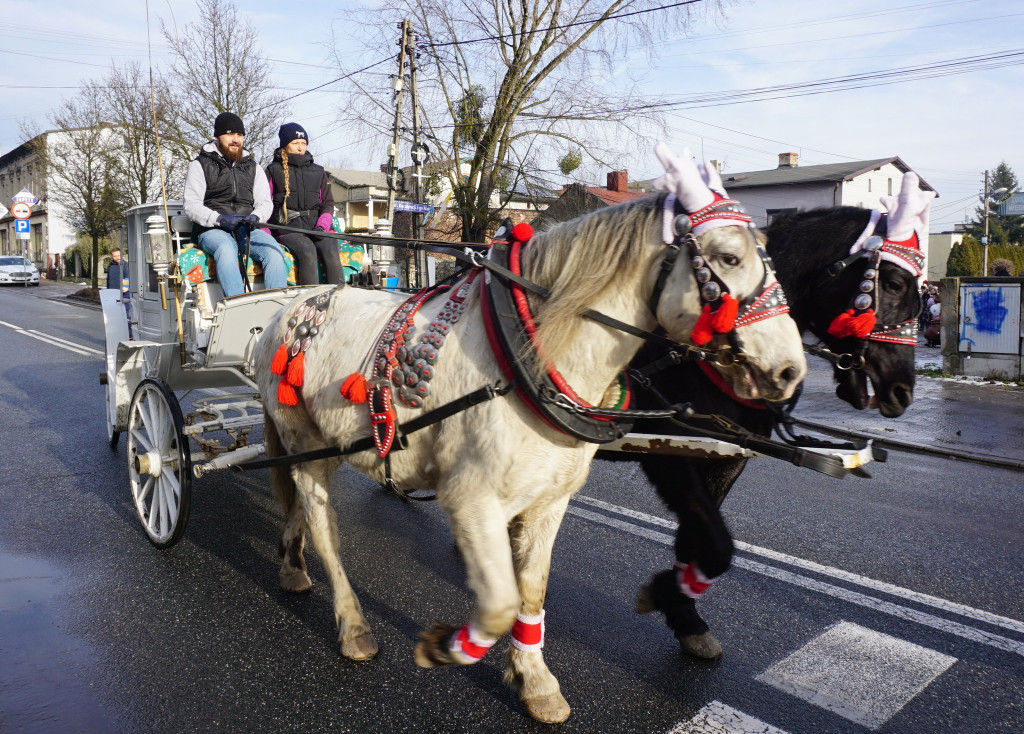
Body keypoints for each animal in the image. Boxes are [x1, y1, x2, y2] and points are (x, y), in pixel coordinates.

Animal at [253, 144, 806, 720]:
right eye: (729, 258)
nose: (791, 370)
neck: (523, 361)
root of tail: (286, 311)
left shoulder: (549, 500)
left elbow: (532, 592)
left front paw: (535, 679)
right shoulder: (471, 498)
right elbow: (499, 604)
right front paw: (449, 648)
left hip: (327, 445)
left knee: (299, 502)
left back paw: (292, 563)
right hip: (305, 443)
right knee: (323, 524)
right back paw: (353, 624)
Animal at [618, 205, 925, 659]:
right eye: (894, 283)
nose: (902, 391)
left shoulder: (724, 456)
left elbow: (700, 541)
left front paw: (684, 613)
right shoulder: (670, 453)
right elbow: (718, 545)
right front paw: (667, 598)